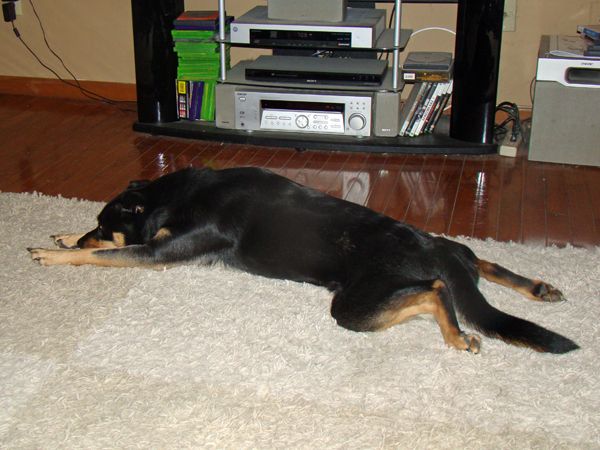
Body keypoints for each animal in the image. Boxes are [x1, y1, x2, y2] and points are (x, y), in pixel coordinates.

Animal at [29, 167, 576, 354]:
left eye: (105, 224)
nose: (85, 235)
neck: (173, 196)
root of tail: (431, 248)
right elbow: (101, 250)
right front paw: (63, 235)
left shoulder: (163, 251)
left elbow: (110, 256)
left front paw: (55, 253)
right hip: (447, 251)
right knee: (481, 262)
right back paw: (538, 287)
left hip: (355, 305)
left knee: (437, 291)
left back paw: (457, 334)